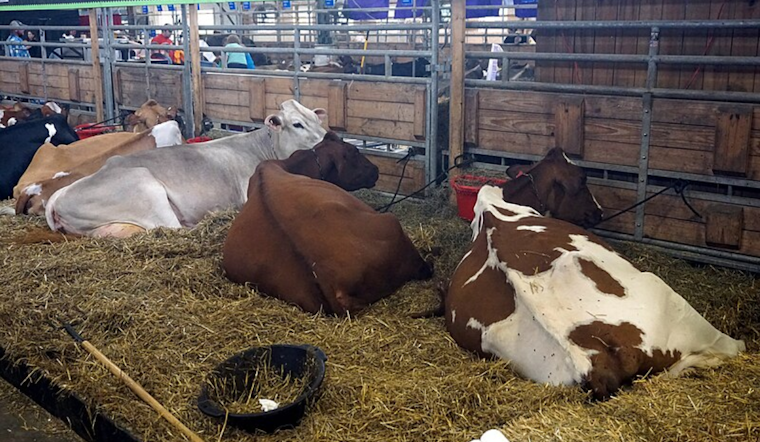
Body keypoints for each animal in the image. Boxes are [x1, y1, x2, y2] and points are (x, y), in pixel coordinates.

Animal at [44, 100, 327, 238]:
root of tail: (56, 197)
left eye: (317, 119)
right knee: (172, 227)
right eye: (297, 124)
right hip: (147, 191)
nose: (328, 138)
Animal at [445, 150, 745, 400]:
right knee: (727, 347)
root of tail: (589, 358)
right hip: (671, 299)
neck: (501, 202)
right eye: (582, 180)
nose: (599, 212)